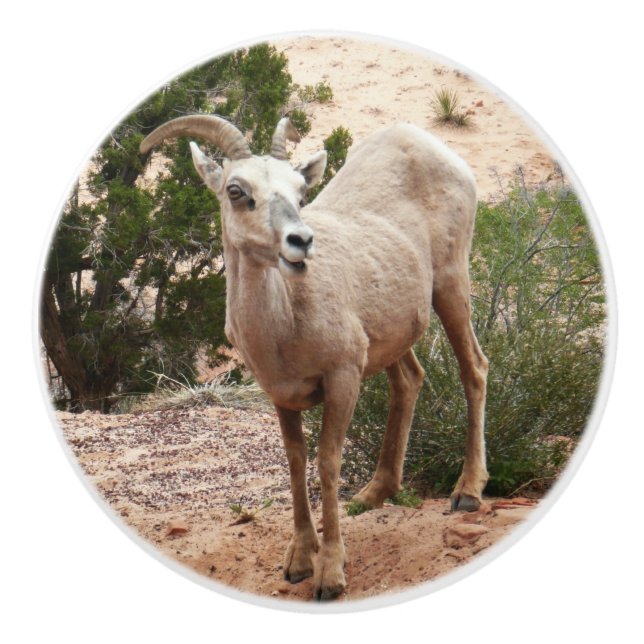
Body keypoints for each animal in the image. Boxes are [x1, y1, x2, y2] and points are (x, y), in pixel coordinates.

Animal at [139, 115, 489, 600]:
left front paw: (330, 575)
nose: (300, 241)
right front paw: (299, 563)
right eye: (236, 190)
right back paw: (373, 494)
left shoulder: (343, 378)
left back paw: (467, 492)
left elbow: (327, 462)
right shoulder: (281, 395)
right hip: (392, 334)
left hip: (451, 285)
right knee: (410, 379)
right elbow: (295, 461)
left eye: (300, 193)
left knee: (474, 368)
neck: (284, 324)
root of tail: (425, 142)